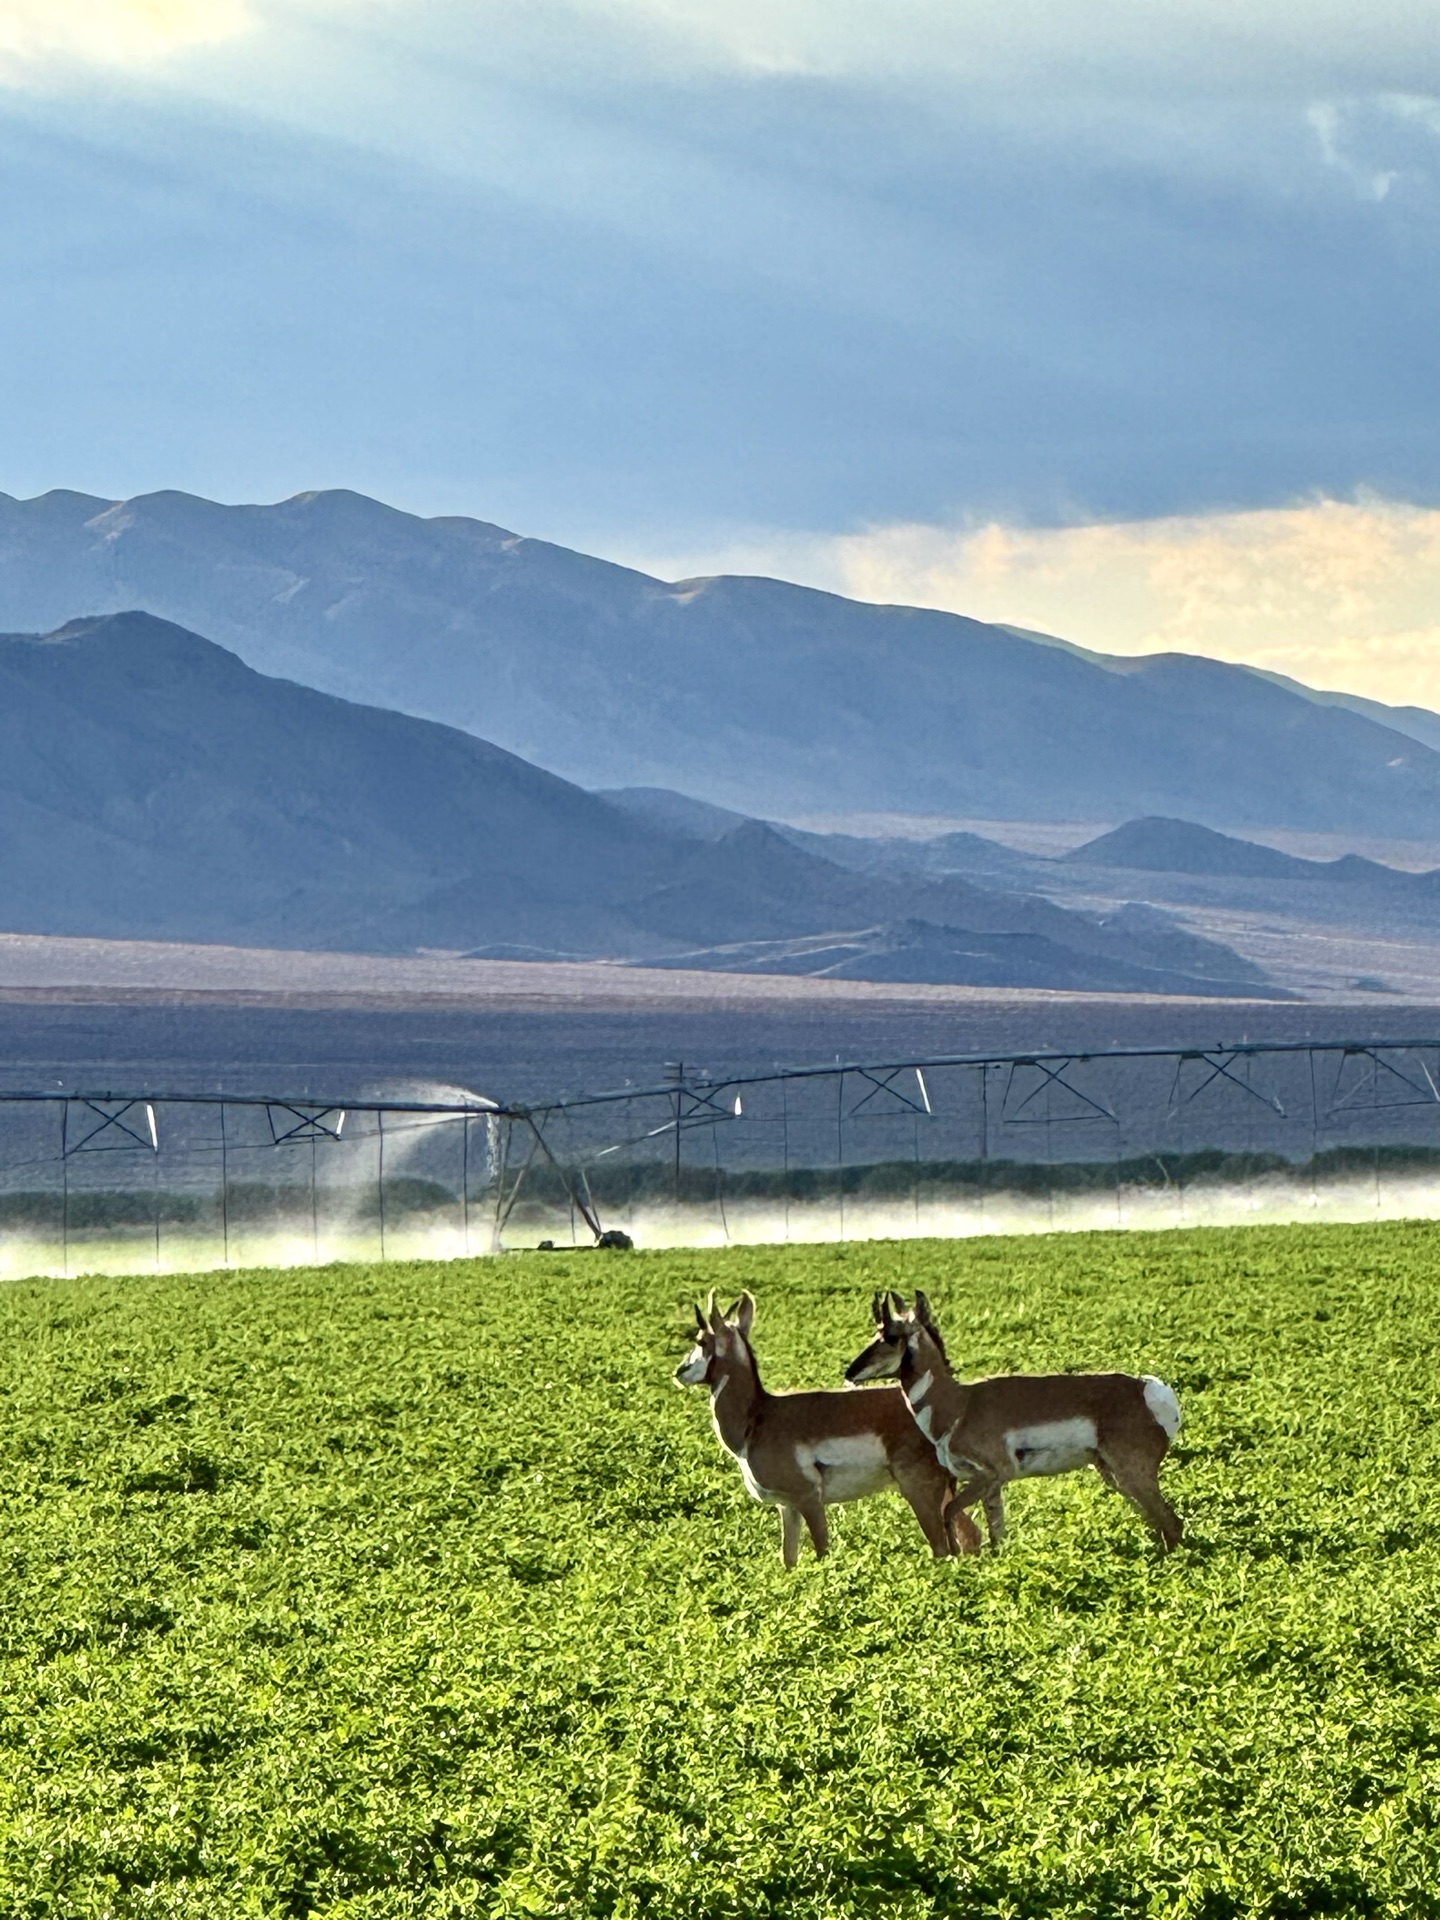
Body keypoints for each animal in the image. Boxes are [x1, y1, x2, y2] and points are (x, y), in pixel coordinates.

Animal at [675, 1291, 980, 1566]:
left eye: (701, 1339)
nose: (678, 1372)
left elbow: (822, 1552)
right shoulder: (787, 1507)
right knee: (969, 1537)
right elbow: (788, 1560)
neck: (758, 1416)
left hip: (918, 1490)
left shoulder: (810, 1500)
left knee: (942, 1547)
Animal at [845, 1291, 1184, 1552]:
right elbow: (996, 1534)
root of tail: (1149, 1388)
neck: (959, 1404)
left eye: (890, 1337)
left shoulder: (994, 1473)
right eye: (874, 1333)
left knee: (1172, 1522)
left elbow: (949, 1512)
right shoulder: (989, 1484)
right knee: (1158, 1523)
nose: (849, 1372)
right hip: (1112, 1474)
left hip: (1132, 1474)